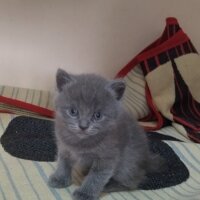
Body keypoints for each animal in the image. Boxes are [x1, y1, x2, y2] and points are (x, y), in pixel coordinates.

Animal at [48, 69, 162, 200]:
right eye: (73, 111)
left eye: (97, 115)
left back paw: (109, 185)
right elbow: (63, 163)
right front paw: (60, 178)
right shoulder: (64, 147)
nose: (83, 126)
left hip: (128, 162)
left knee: (133, 181)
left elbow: (97, 176)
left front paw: (85, 193)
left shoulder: (108, 157)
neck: (80, 142)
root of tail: (147, 160)